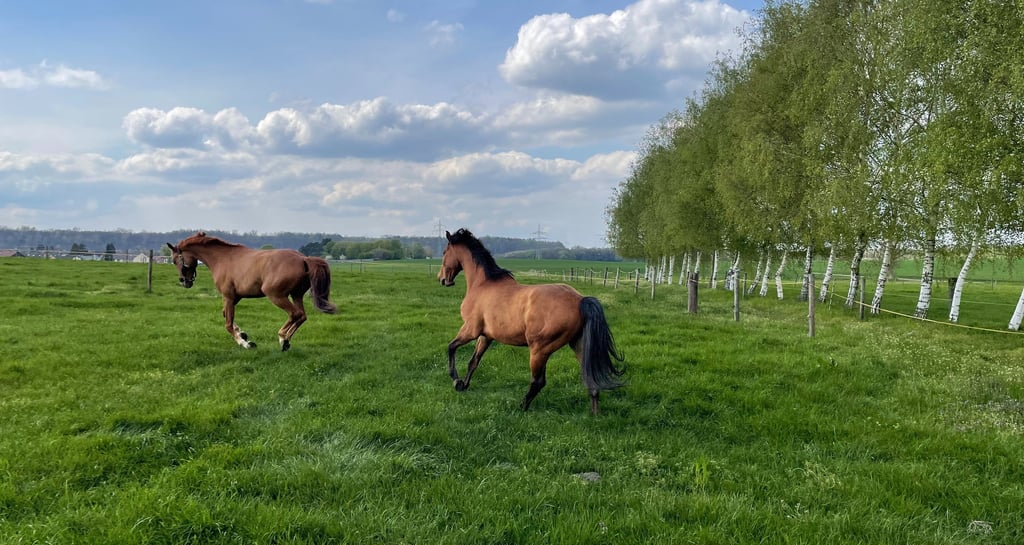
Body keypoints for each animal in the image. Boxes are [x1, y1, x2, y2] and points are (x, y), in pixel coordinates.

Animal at [166, 232, 336, 351]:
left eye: (175, 260)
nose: (184, 281)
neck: (222, 259)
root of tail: (303, 259)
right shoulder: (235, 297)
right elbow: (225, 315)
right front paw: (242, 333)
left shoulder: (228, 297)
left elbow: (228, 324)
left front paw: (245, 343)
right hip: (296, 295)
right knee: (302, 316)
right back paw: (285, 341)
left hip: (276, 295)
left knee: (296, 314)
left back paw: (283, 338)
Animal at [437, 228, 625, 415]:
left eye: (444, 252)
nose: (442, 279)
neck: (483, 285)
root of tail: (580, 300)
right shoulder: (486, 336)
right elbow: (473, 362)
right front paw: (463, 385)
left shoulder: (471, 330)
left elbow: (451, 347)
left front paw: (456, 380)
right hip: (577, 344)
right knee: (590, 379)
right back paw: (594, 415)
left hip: (539, 350)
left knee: (538, 382)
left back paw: (520, 407)